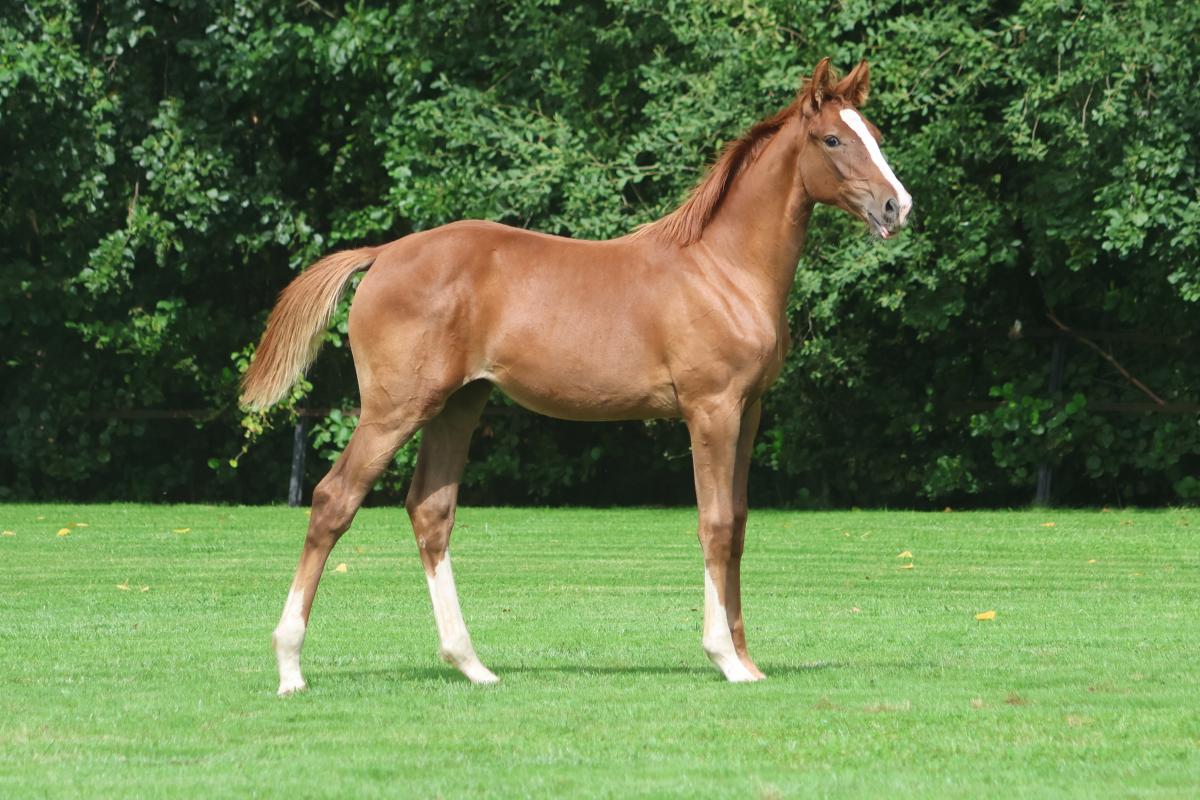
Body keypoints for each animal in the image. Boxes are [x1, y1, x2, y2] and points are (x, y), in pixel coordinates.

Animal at [241, 58, 911, 694]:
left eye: (875, 136)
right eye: (832, 139)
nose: (896, 205)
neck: (723, 269)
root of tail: (382, 255)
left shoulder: (749, 411)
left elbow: (739, 525)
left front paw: (748, 660)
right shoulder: (711, 410)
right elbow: (715, 524)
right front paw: (726, 659)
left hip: (459, 405)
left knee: (430, 512)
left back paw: (471, 664)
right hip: (394, 410)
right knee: (334, 501)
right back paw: (290, 668)